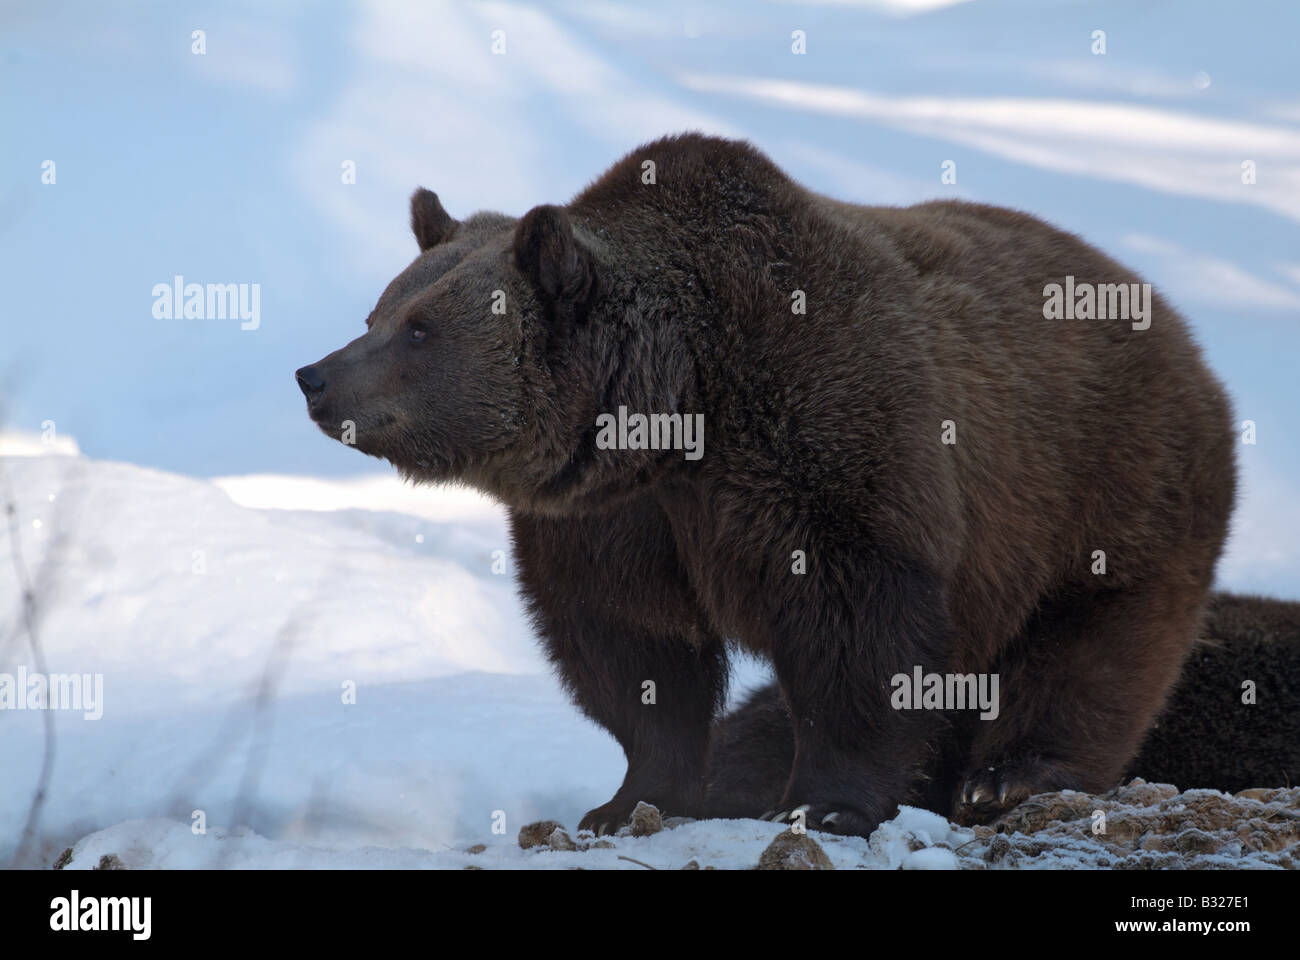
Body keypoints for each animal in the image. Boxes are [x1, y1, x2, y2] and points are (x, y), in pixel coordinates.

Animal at [297, 130, 1237, 832]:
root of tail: (1166, 314)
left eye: (420, 330)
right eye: (380, 310)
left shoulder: (825, 442)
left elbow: (856, 627)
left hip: (1107, 480)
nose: (315, 375)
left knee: (1094, 639)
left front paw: (828, 802)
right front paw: (632, 797)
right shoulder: (614, 518)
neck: (671, 412)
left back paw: (1011, 775)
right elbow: (630, 647)